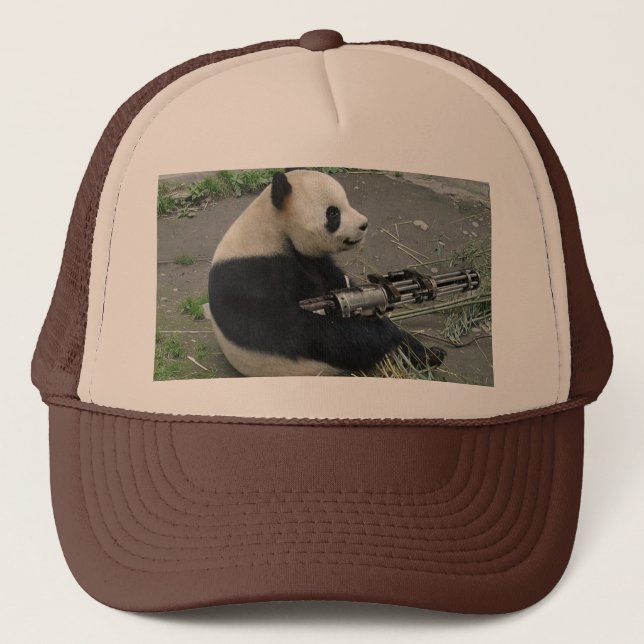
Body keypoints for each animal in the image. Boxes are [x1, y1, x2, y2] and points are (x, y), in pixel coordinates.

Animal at [208, 169, 446, 377]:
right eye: (333, 212)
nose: (364, 224)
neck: (273, 228)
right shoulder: (250, 272)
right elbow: (289, 328)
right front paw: (380, 330)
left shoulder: (313, 261)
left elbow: (336, 281)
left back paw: (431, 355)